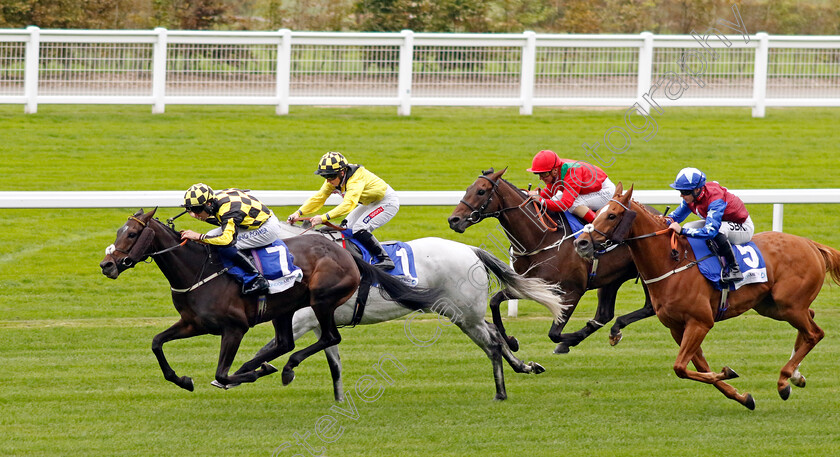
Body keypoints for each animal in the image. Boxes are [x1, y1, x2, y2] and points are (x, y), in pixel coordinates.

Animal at [97, 208, 440, 390]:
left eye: (131, 234)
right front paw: (182, 379)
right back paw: (265, 364)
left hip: (321, 300)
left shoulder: (234, 328)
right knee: (286, 342)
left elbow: (220, 373)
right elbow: (156, 342)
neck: (198, 270)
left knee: (329, 337)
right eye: (118, 232)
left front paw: (248, 375)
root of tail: (348, 254)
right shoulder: (193, 323)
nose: (107, 265)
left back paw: (281, 368)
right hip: (284, 308)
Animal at [244, 221, 572, 400]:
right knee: (494, 336)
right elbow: (334, 364)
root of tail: (470, 249)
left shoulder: (303, 321)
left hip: (464, 313)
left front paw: (257, 371)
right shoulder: (316, 323)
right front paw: (337, 400)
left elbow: (270, 348)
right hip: (463, 314)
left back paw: (502, 389)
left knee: (491, 341)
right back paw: (524, 366)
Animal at [446, 169, 656, 350]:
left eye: (481, 191)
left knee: (649, 308)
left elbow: (554, 333)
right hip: (612, 278)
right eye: (468, 189)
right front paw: (512, 341)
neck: (542, 237)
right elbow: (495, 302)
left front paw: (571, 339)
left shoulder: (573, 290)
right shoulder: (533, 284)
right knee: (605, 314)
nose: (454, 220)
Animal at [576, 183, 840, 408]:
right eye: (598, 213)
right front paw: (741, 395)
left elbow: (681, 367)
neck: (672, 262)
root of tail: (811, 244)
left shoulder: (700, 322)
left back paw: (785, 380)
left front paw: (727, 373)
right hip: (771, 306)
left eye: (611, 215)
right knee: (810, 319)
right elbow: (699, 367)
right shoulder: (677, 327)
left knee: (815, 333)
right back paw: (796, 377)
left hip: (788, 305)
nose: (581, 243)